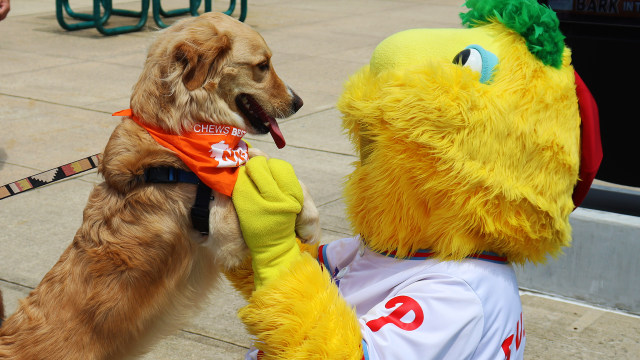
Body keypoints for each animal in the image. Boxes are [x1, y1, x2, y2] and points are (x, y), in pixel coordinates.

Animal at [0, 11, 320, 360]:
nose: (299, 102)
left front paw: (309, 218)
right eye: (263, 65)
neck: (179, 132)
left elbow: (256, 159)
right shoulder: (224, 234)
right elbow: (243, 176)